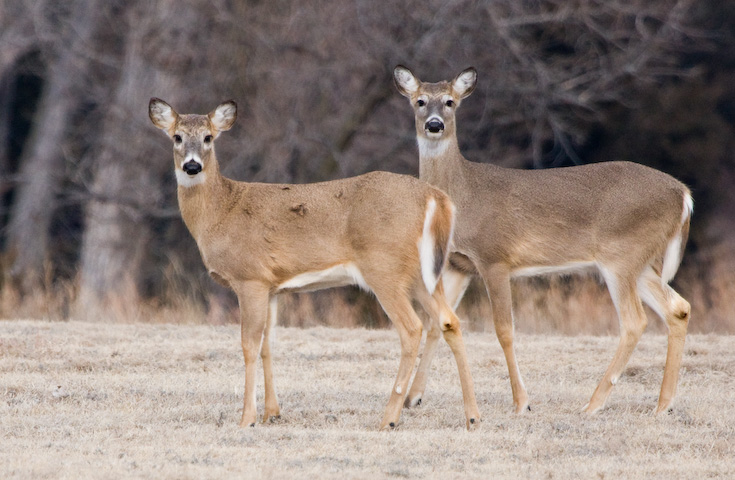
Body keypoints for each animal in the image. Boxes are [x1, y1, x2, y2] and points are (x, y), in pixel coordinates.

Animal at [150, 96, 484, 428]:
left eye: (209, 137)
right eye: (177, 137)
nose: (192, 165)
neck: (220, 212)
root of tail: (436, 198)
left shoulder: (250, 278)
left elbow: (249, 345)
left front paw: (247, 419)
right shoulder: (272, 287)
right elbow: (268, 345)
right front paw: (272, 413)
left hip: (384, 268)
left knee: (412, 328)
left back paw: (389, 419)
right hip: (424, 273)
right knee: (449, 321)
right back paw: (472, 417)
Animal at [394, 64, 692, 416]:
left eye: (450, 102)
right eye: (420, 101)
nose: (434, 125)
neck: (462, 197)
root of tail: (683, 195)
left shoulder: (494, 257)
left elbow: (504, 330)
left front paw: (522, 402)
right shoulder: (459, 265)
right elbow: (436, 323)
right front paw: (414, 397)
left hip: (620, 256)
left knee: (635, 322)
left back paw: (593, 404)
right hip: (640, 263)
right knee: (678, 308)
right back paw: (663, 404)